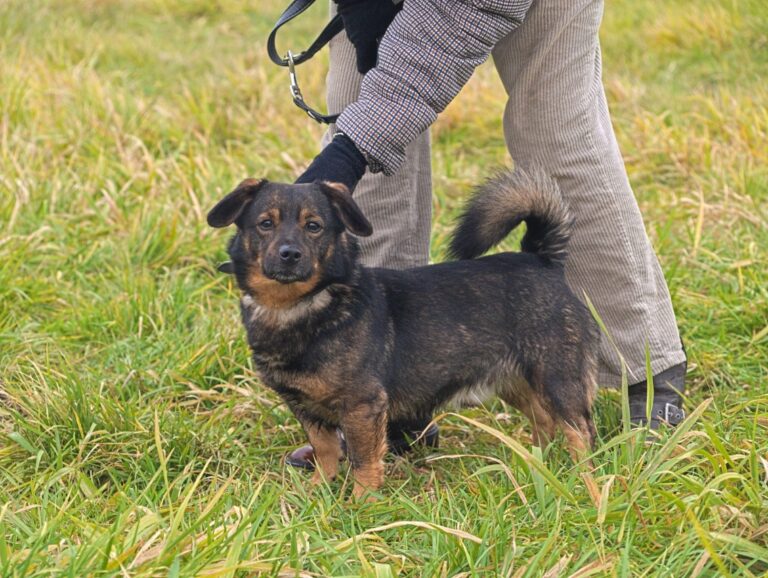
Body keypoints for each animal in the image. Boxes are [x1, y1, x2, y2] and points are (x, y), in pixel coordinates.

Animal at [208, 169, 600, 498]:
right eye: (265, 224)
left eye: (314, 226)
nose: (290, 253)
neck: (300, 307)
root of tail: (540, 258)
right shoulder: (306, 408)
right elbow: (326, 450)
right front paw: (318, 492)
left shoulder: (363, 406)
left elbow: (363, 460)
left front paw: (361, 503)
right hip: (515, 381)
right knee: (544, 420)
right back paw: (537, 467)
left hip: (557, 377)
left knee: (579, 430)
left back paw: (583, 480)